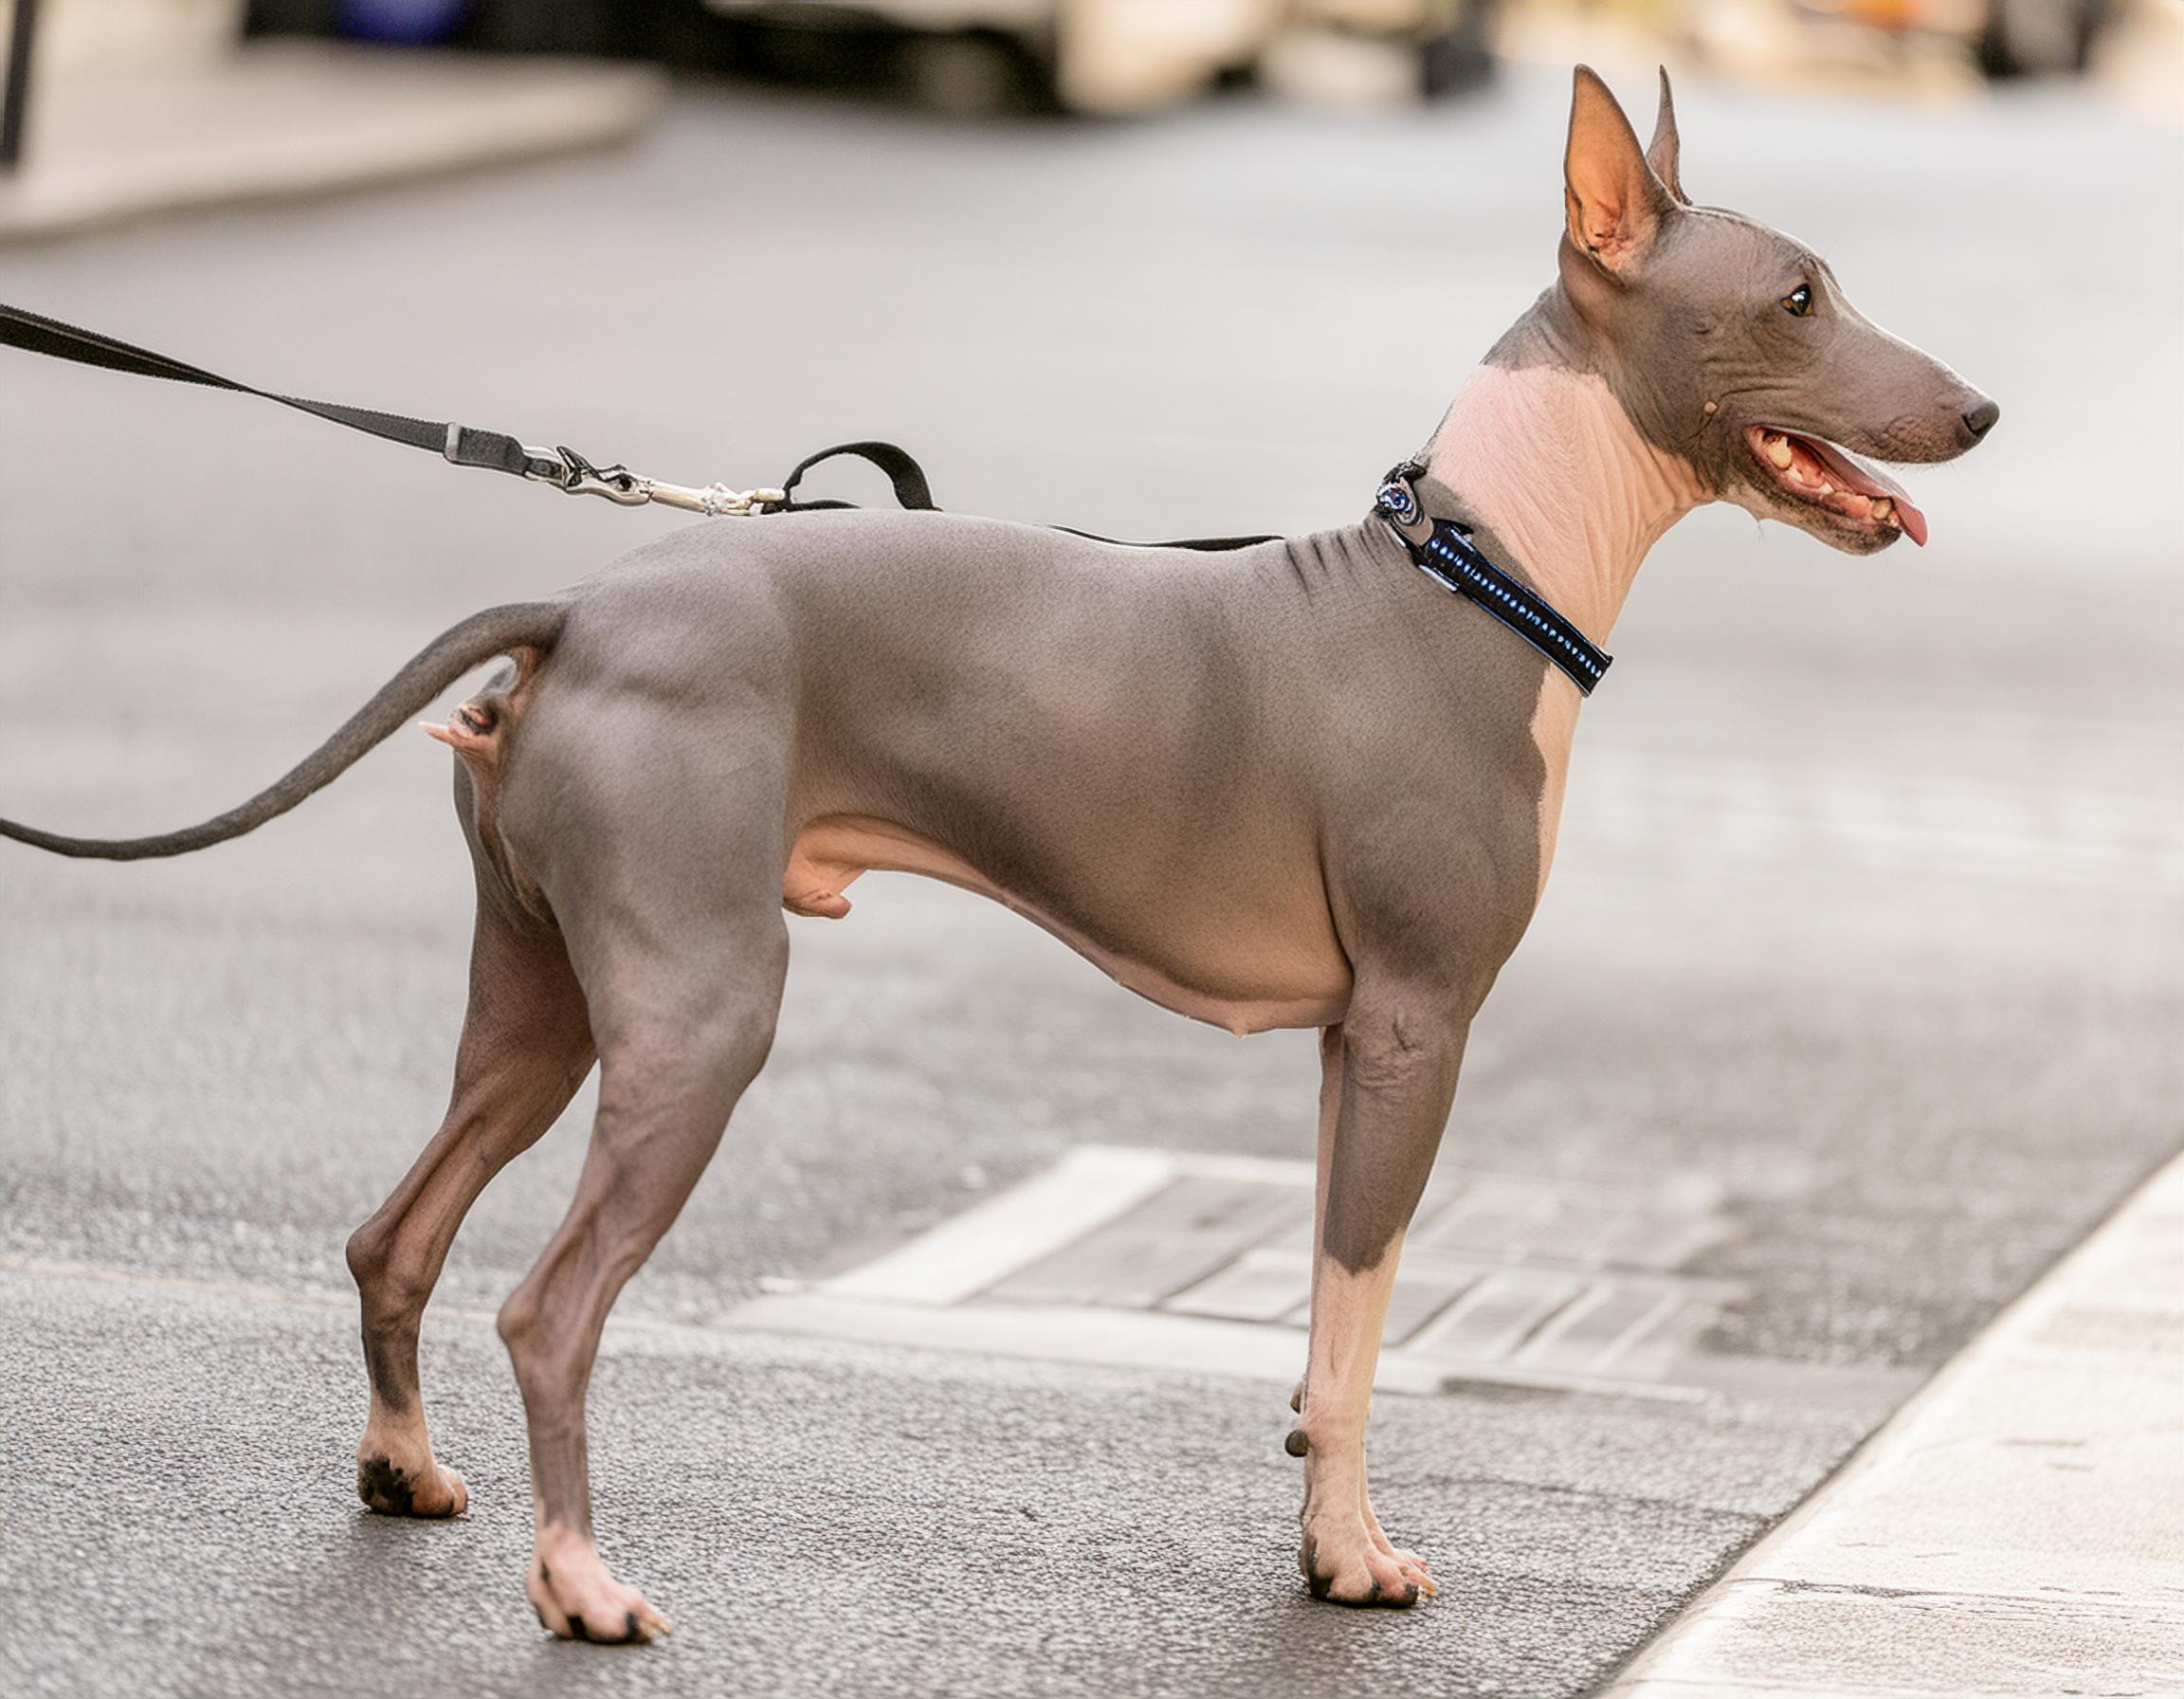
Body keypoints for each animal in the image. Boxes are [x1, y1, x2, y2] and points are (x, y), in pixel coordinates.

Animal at [0, 69, 2000, 1642]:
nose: (1978, 409)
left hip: (543, 999)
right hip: (702, 1010)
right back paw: (581, 1586)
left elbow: (1318, 1331)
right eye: (1797, 294)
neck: (1474, 569)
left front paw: (1313, 1522)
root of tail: (583, 602)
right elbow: (1360, 1326)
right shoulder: (1414, 1027)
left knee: (392, 1232)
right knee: (547, 1305)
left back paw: (405, 1471)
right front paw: (1351, 1557)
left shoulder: (1350, 1047)